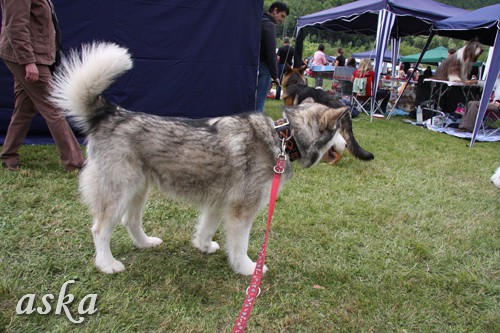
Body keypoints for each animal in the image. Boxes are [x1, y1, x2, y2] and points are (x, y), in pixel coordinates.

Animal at [50, 42, 374, 274]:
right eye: (339, 131)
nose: (346, 143)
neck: (284, 138)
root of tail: (112, 113)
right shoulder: (242, 210)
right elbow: (240, 244)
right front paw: (248, 269)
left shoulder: (219, 202)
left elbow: (205, 228)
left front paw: (203, 247)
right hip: (119, 190)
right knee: (100, 229)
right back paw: (107, 264)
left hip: (138, 189)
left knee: (130, 221)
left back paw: (145, 243)